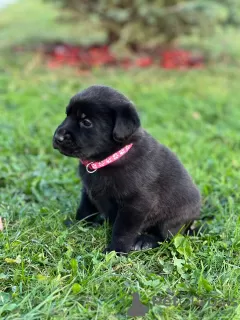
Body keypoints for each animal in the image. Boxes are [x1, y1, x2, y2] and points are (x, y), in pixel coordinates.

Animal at [53, 84, 202, 252]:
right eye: (67, 114)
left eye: (86, 122)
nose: (57, 137)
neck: (107, 159)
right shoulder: (87, 191)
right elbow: (85, 210)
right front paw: (76, 224)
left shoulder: (136, 204)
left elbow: (123, 230)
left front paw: (116, 250)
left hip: (171, 220)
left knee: (167, 237)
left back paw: (145, 241)